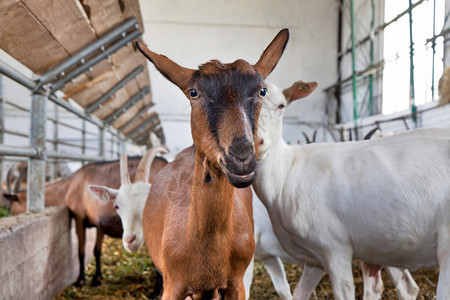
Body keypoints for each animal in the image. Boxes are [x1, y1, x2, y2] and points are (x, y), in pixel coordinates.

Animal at [2, 155, 168, 286]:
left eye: (10, 207)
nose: (7, 213)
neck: (71, 184)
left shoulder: (78, 216)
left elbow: (81, 250)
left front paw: (81, 280)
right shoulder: (99, 223)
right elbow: (97, 250)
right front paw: (97, 278)